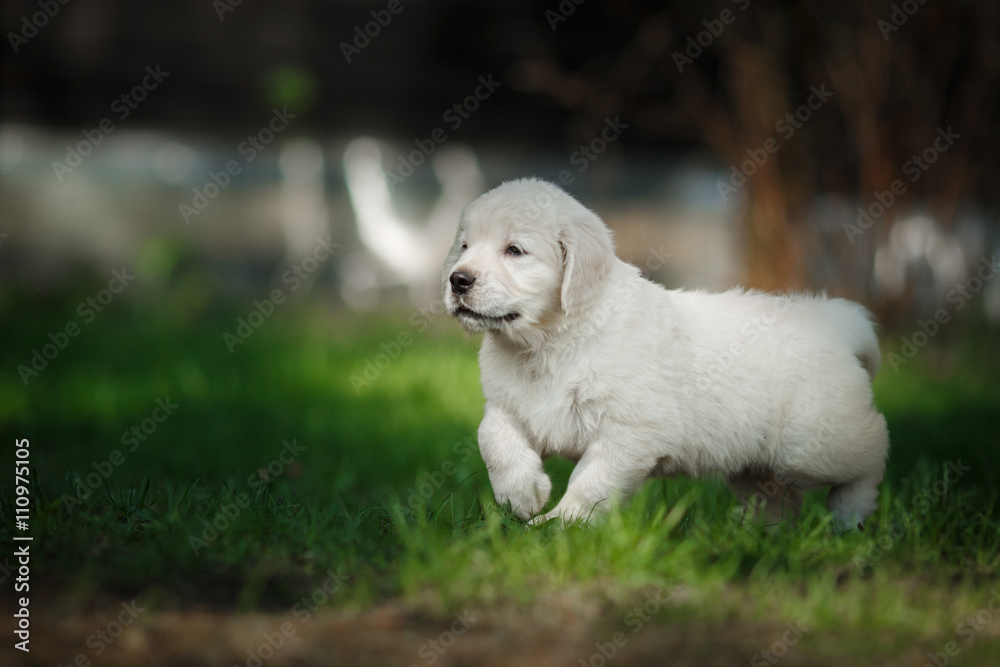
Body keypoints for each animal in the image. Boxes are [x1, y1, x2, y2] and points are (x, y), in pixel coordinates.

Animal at [446, 179, 892, 532]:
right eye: (464, 246)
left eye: (515, 250)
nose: (457, 279)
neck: (546, 343)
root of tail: (834, 320)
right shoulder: (507, 403)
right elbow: (492, 437)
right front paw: (521, 495)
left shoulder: (630, 430)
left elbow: (592, 481)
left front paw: (561, 525)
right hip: (755, 461)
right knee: (779, 500)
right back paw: (755, 536)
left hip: (809, 444)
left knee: (874, 447)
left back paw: (850, 515)